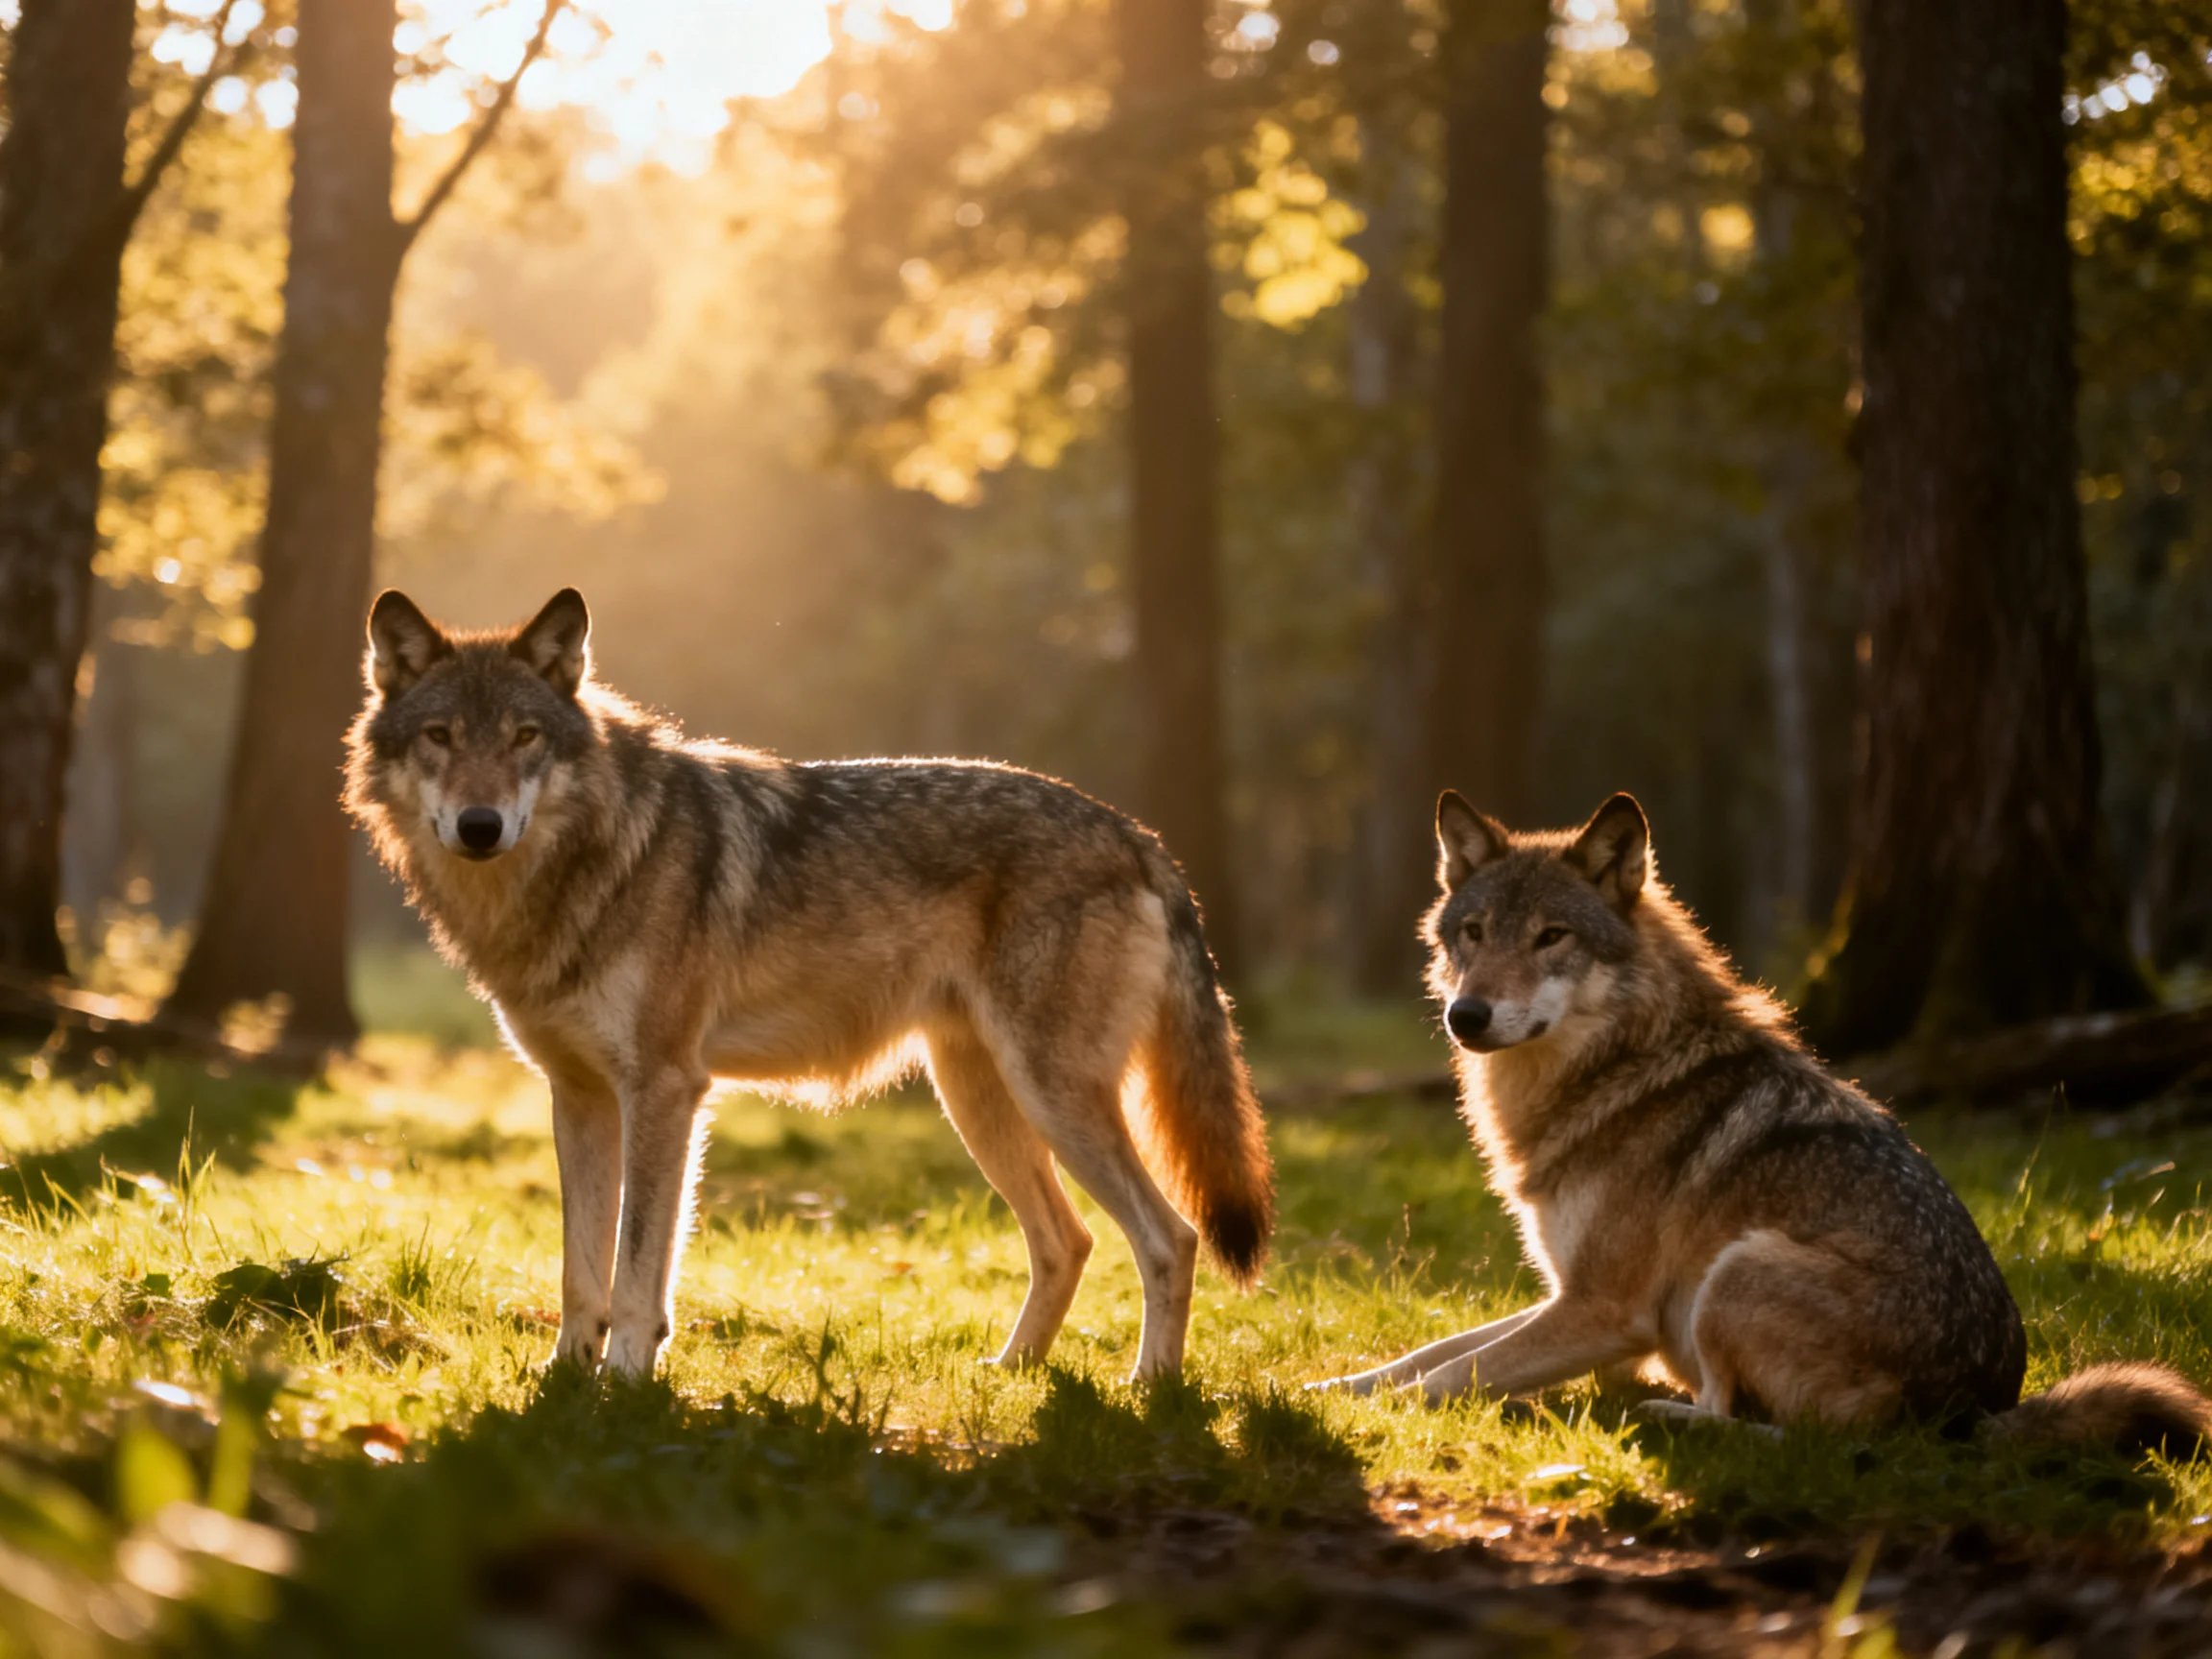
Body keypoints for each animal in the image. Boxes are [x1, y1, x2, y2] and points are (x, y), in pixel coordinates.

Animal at [344, 588, 1272, 1380]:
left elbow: (638, 1264)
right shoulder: (577, 1096)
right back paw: (1014, 1372)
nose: (480, 826)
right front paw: (564, 1378)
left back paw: (1150, 1388)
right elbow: (581, 1269)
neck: (589, 865)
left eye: (524, 738)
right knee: (1069, 1240)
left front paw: (625, 1380)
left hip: (1052, 1097)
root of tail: (1139, 835)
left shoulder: (666, 1090)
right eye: (440, 737)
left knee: (1171, 1236)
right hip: (981, 1102)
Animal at [1313, 791, 2212, 1452]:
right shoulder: (1567, 1296)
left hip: (1738, 1268)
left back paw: (1663, 1414)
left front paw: (1377, 1414)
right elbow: (1427, 1352)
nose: (1467, 1015)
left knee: (1775, 1429)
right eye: (1473, 933)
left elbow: (1451, 1375)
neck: (1617, 1068)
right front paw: (1330, 1387)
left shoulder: (1606, 1310)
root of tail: (1979, 1411)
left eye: (1551, 937)